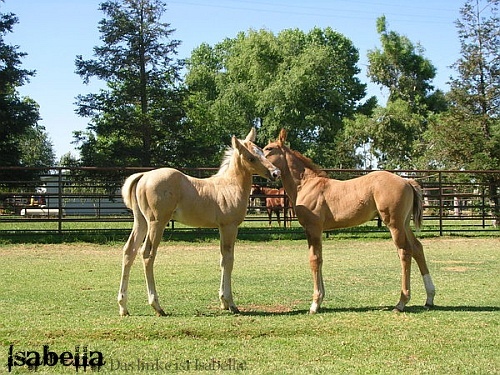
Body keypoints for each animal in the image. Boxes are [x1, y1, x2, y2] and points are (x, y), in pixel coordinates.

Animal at [118, 129, 282, 318]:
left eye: (262, 152)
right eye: (251, 158)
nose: (276, 173)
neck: (230, 186)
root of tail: (143, 175)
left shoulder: (221, 228)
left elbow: (222, 259)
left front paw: (223, 302)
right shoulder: (230, 227)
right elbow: (229, 260)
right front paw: (231, 303)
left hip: (141, 222)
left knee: (129, 251)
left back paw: (123, 306)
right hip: (156, 223)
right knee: (147, 254)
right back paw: (157, 306)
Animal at [264, 129, 436, 314]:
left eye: (269, 148)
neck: (306, 184)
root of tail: (406, 180)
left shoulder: (313, 229)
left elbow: (314, 260)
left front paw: (315, 304)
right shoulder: (315, 231)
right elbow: (320, 259)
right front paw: (320, 299)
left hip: (394, 225)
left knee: (404, 252)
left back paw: (401, 302)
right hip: (404, 224)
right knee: (417, 248)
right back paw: (429, 298)